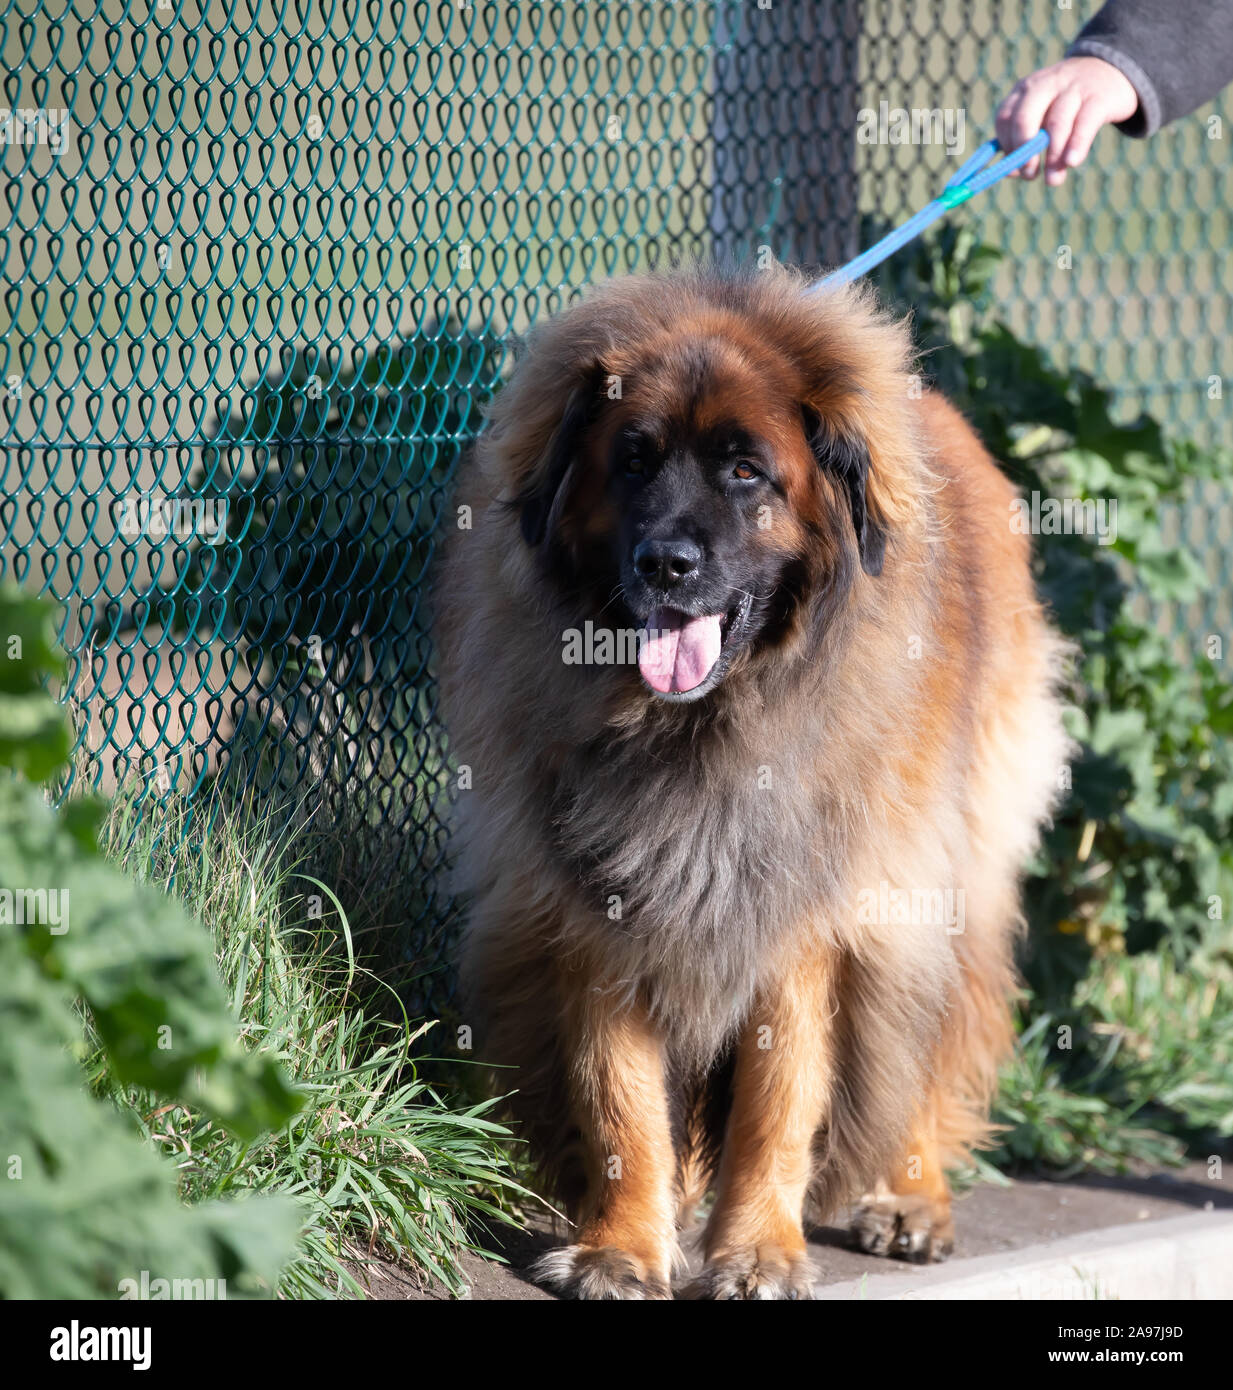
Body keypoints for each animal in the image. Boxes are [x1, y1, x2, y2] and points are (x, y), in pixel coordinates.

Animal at [436, 262, 1073, 1301]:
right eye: (633, 461)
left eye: (745, 471)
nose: (665, 563)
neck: (701, 729)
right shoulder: (599, 905)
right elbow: (619, 1100)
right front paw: (625, 1244)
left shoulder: (799, 919)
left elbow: (778, 1103)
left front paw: (756, 1253)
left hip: (935, 866)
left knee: (922, 1038)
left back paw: (909, 1193)